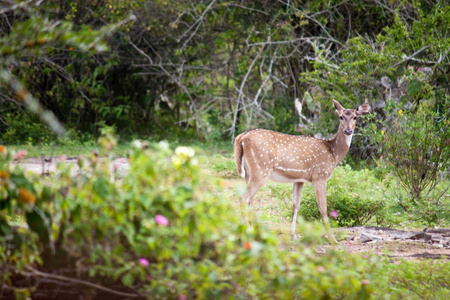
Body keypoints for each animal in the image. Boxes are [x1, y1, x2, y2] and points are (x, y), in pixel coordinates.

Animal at [234, 99, 370, 236]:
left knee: (249, 199)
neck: (333, 153)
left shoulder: (299, 179)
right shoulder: (320, 176)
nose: (348, 131)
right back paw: (245, 231)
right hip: (261, 169)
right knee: (244, 197)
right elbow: (323, 207)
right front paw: (331, 237)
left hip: (248, 173)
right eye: (340, 117)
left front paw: (293, 234)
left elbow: (296, 204)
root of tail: (241, 137)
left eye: (355, 117)